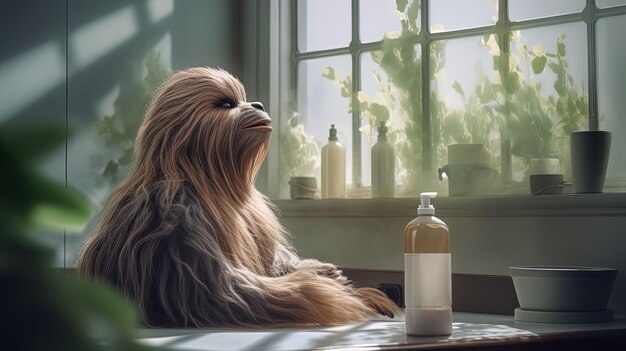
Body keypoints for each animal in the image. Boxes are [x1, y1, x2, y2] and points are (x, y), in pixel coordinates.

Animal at [75, 67, 398, 328]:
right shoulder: (180, 222)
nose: (258, 104)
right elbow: (243, 290)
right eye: (227, 104)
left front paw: (324, 272)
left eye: (243, 99)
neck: (204, 179)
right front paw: (353, 293)